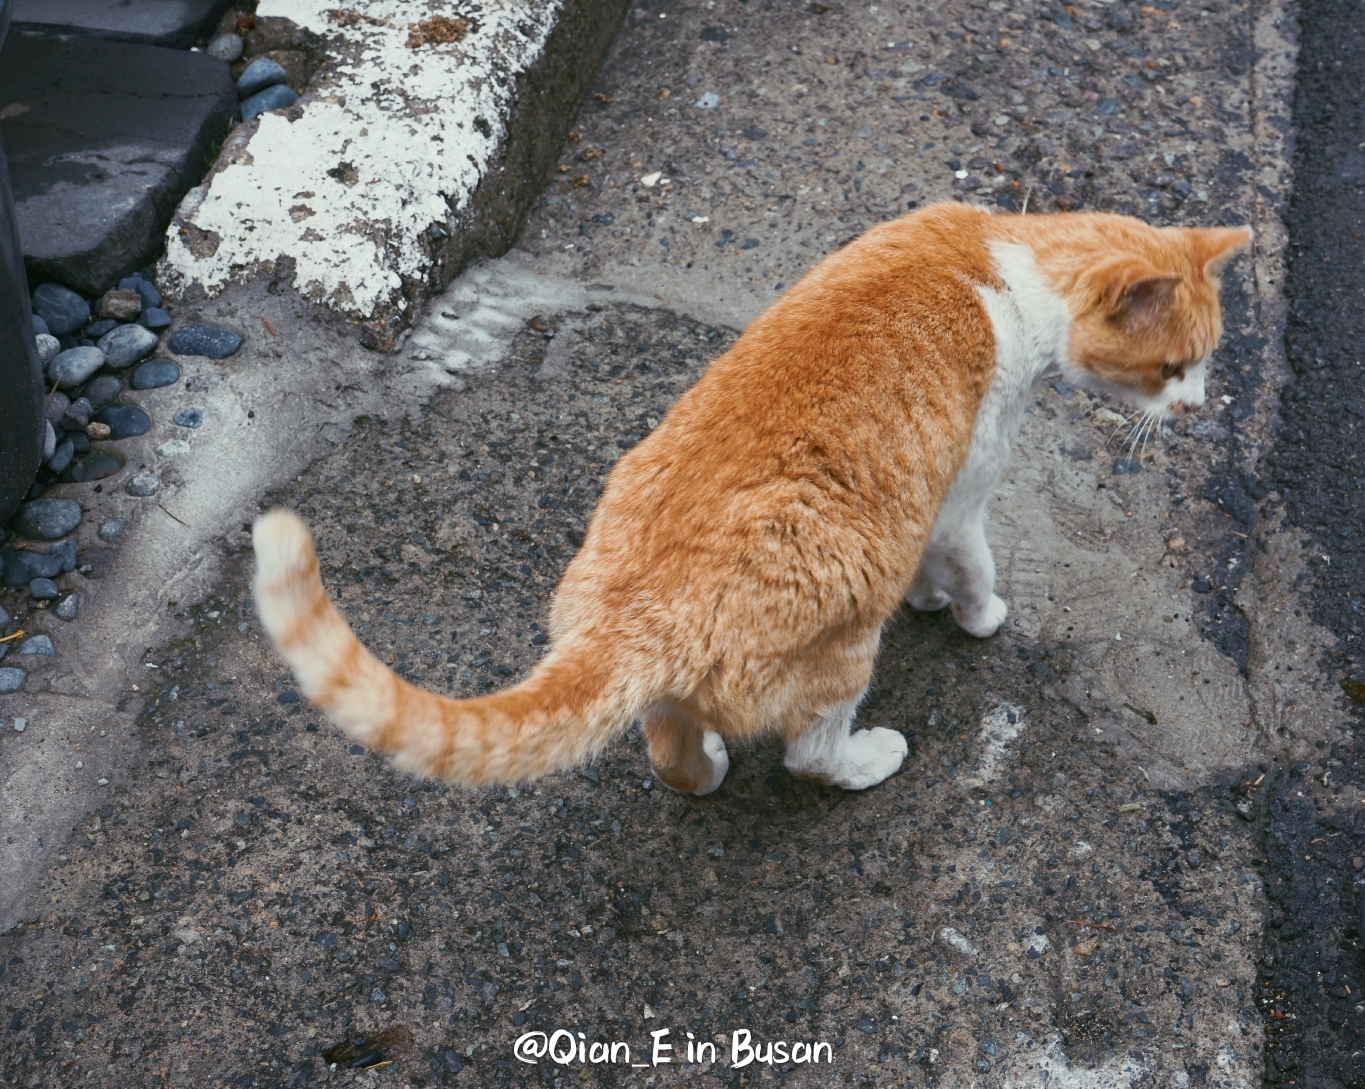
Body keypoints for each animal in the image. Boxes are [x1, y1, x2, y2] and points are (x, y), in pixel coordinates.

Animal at [251, 204, 1250, 796]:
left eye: (1207, 362)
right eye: (1173, 367)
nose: (1199, 408)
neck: (998, 248)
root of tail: (630, 613)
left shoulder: (925, 501)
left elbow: (932, 562)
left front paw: (930, 597)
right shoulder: (961, 491)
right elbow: (972, 566)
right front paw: (975, 615)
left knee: (665, 742)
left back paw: (704, 767)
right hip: (845, 639)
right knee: (810, 752)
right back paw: (866, 758)